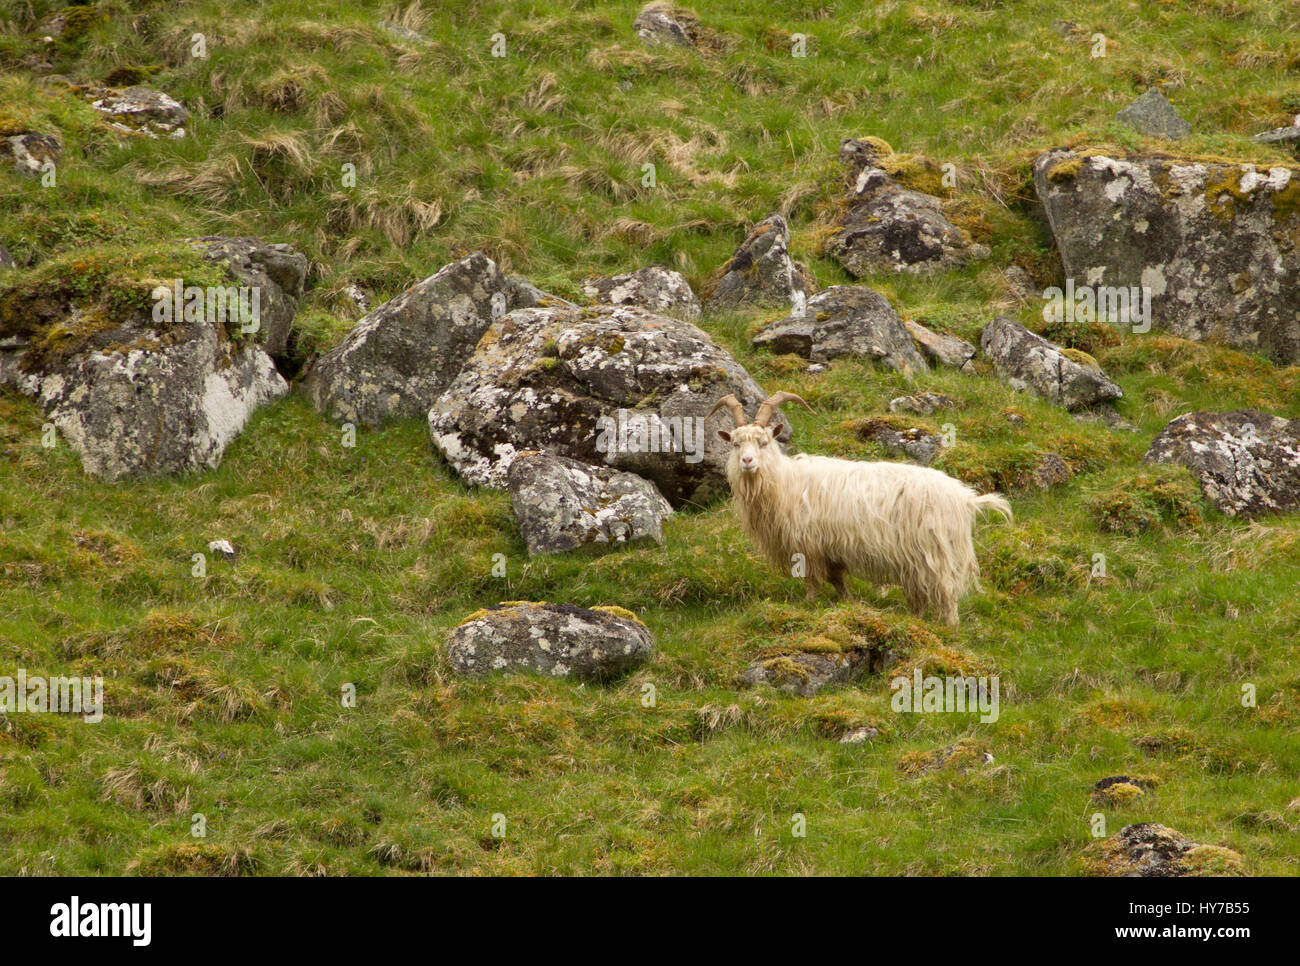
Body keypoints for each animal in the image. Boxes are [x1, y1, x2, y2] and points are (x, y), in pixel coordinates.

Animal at [707, 392, 1008, 626]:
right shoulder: (831, 548)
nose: (747, 461)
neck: (785, 482)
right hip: (916, 559)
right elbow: (837, 580)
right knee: (920, 595)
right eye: (735, 443)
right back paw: (915, 620)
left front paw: (810, 605)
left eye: (764, 442)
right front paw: (850, 604)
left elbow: (812, 582)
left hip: (935, 553)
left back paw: (950, 629)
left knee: (947, 595)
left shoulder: (808, 545)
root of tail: (964, 498)